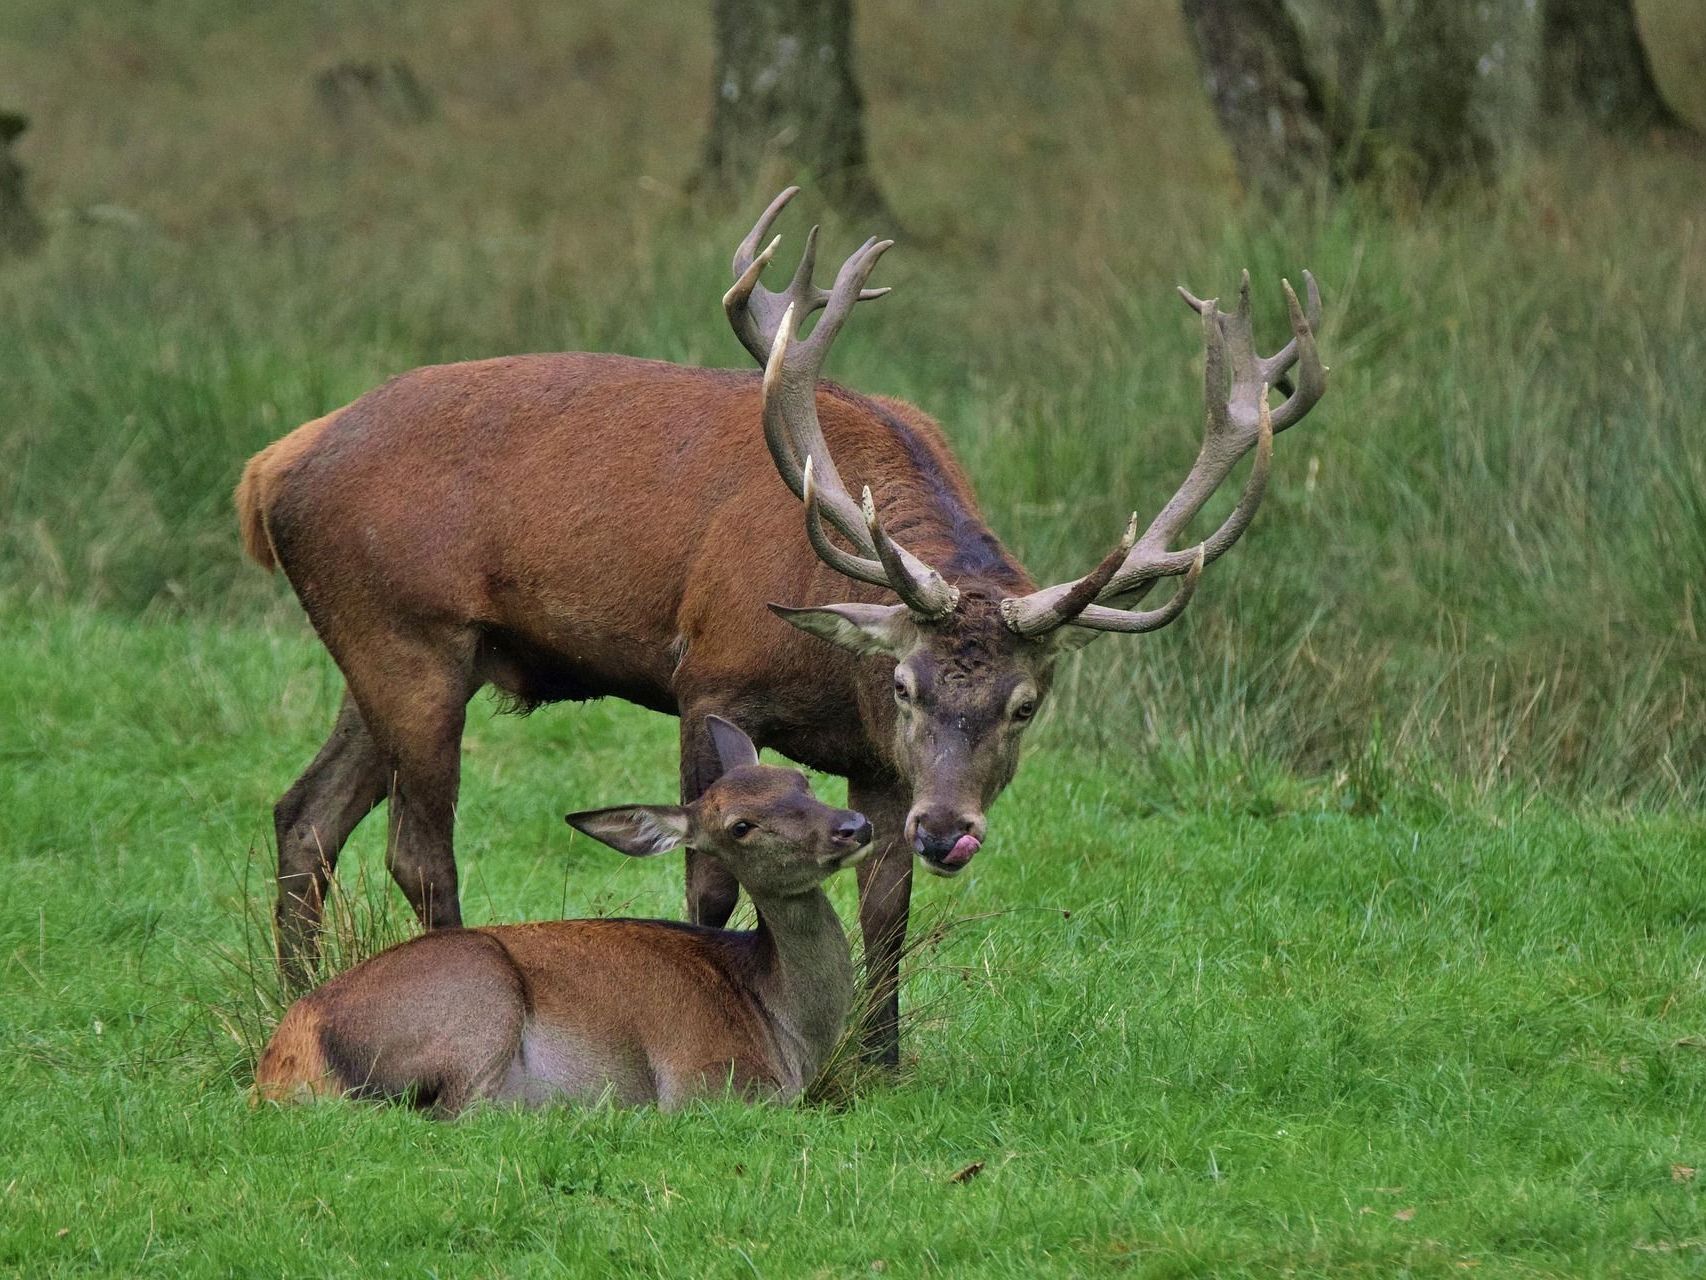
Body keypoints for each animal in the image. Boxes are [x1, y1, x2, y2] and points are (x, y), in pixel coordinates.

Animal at [235, 187, 1326, 1066]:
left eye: (1024, 704)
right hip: (408, 633)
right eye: (905, 684)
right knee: (417, 846)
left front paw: (880, 1055)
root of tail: (270, 468)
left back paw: (297, 992)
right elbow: (708, 873)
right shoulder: (709, 676)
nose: (950, 829)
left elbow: (886, 900)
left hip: (392, 653)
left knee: (306, 812)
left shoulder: (878, 766)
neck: (832, 671)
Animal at [255, 717, 872, 1114]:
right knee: (457, 1112)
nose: (854, 826)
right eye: (740, 826)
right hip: (479, 998)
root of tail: (284, 1060)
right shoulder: (708, 1081)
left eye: (801, 780)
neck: (784, 1031)